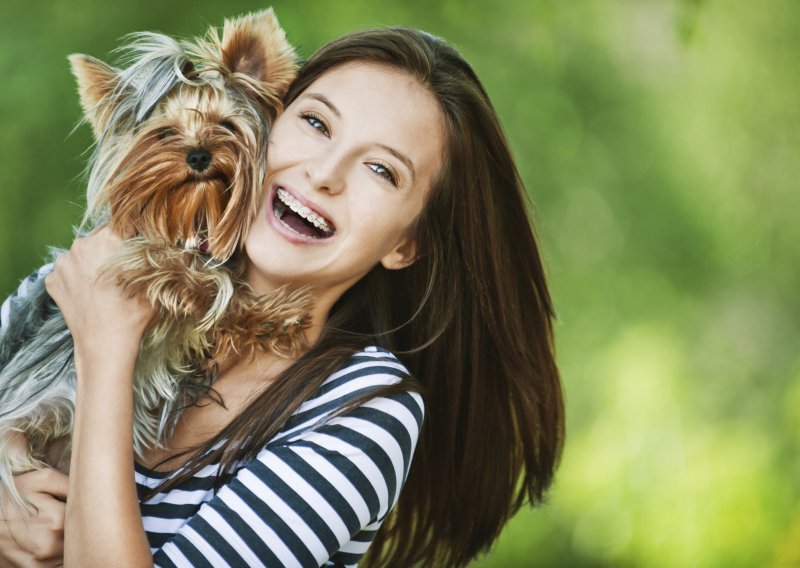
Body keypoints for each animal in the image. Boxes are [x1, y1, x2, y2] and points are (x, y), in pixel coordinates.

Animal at [0, 8, 310, 508]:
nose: (199, 156)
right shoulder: (132, 256)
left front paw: (272, 316)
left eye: (226, 125)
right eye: (164, 133)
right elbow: (197, 279)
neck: (193, 216)